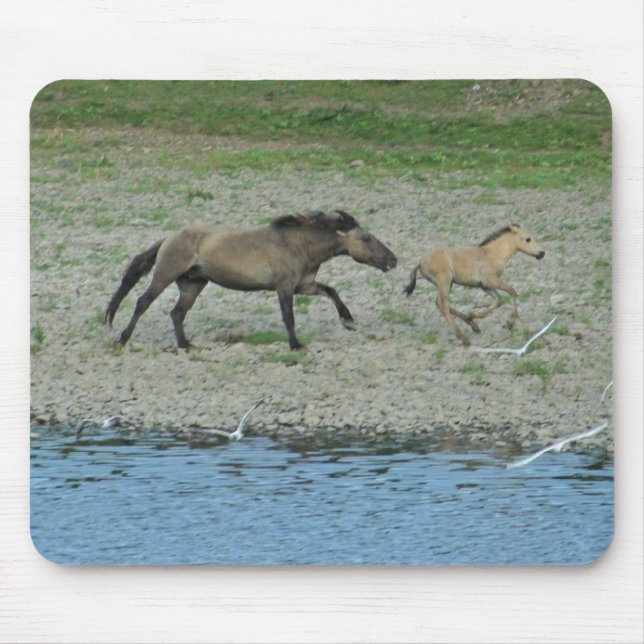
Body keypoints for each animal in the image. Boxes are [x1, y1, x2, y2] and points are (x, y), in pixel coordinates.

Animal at [106, 209, 397, 350]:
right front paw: (295, 344)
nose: (393, 260)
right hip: (165, 275)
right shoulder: (284, 286)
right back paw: (122, 339)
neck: (297, 245)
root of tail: (169, 238)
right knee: (143, 302)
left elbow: (332, 291)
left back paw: (185, 344)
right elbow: (288, 316)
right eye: (366, 238)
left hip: (193, 284)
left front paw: (348, 320)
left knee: (177, 312)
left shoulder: (303, 285)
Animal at [403, 223, 545, 346]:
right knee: (443, 305)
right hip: (444, 281)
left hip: (448, 283)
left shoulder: (485, 286)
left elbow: (499, 300)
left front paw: (473, 315)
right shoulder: (491, 280)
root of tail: (421, 262)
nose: (541, 253)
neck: (492, 253)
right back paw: (464, 338)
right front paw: (510, 323)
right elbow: (512, 291)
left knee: (442, 304)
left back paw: (472, 324)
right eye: (528, 239)